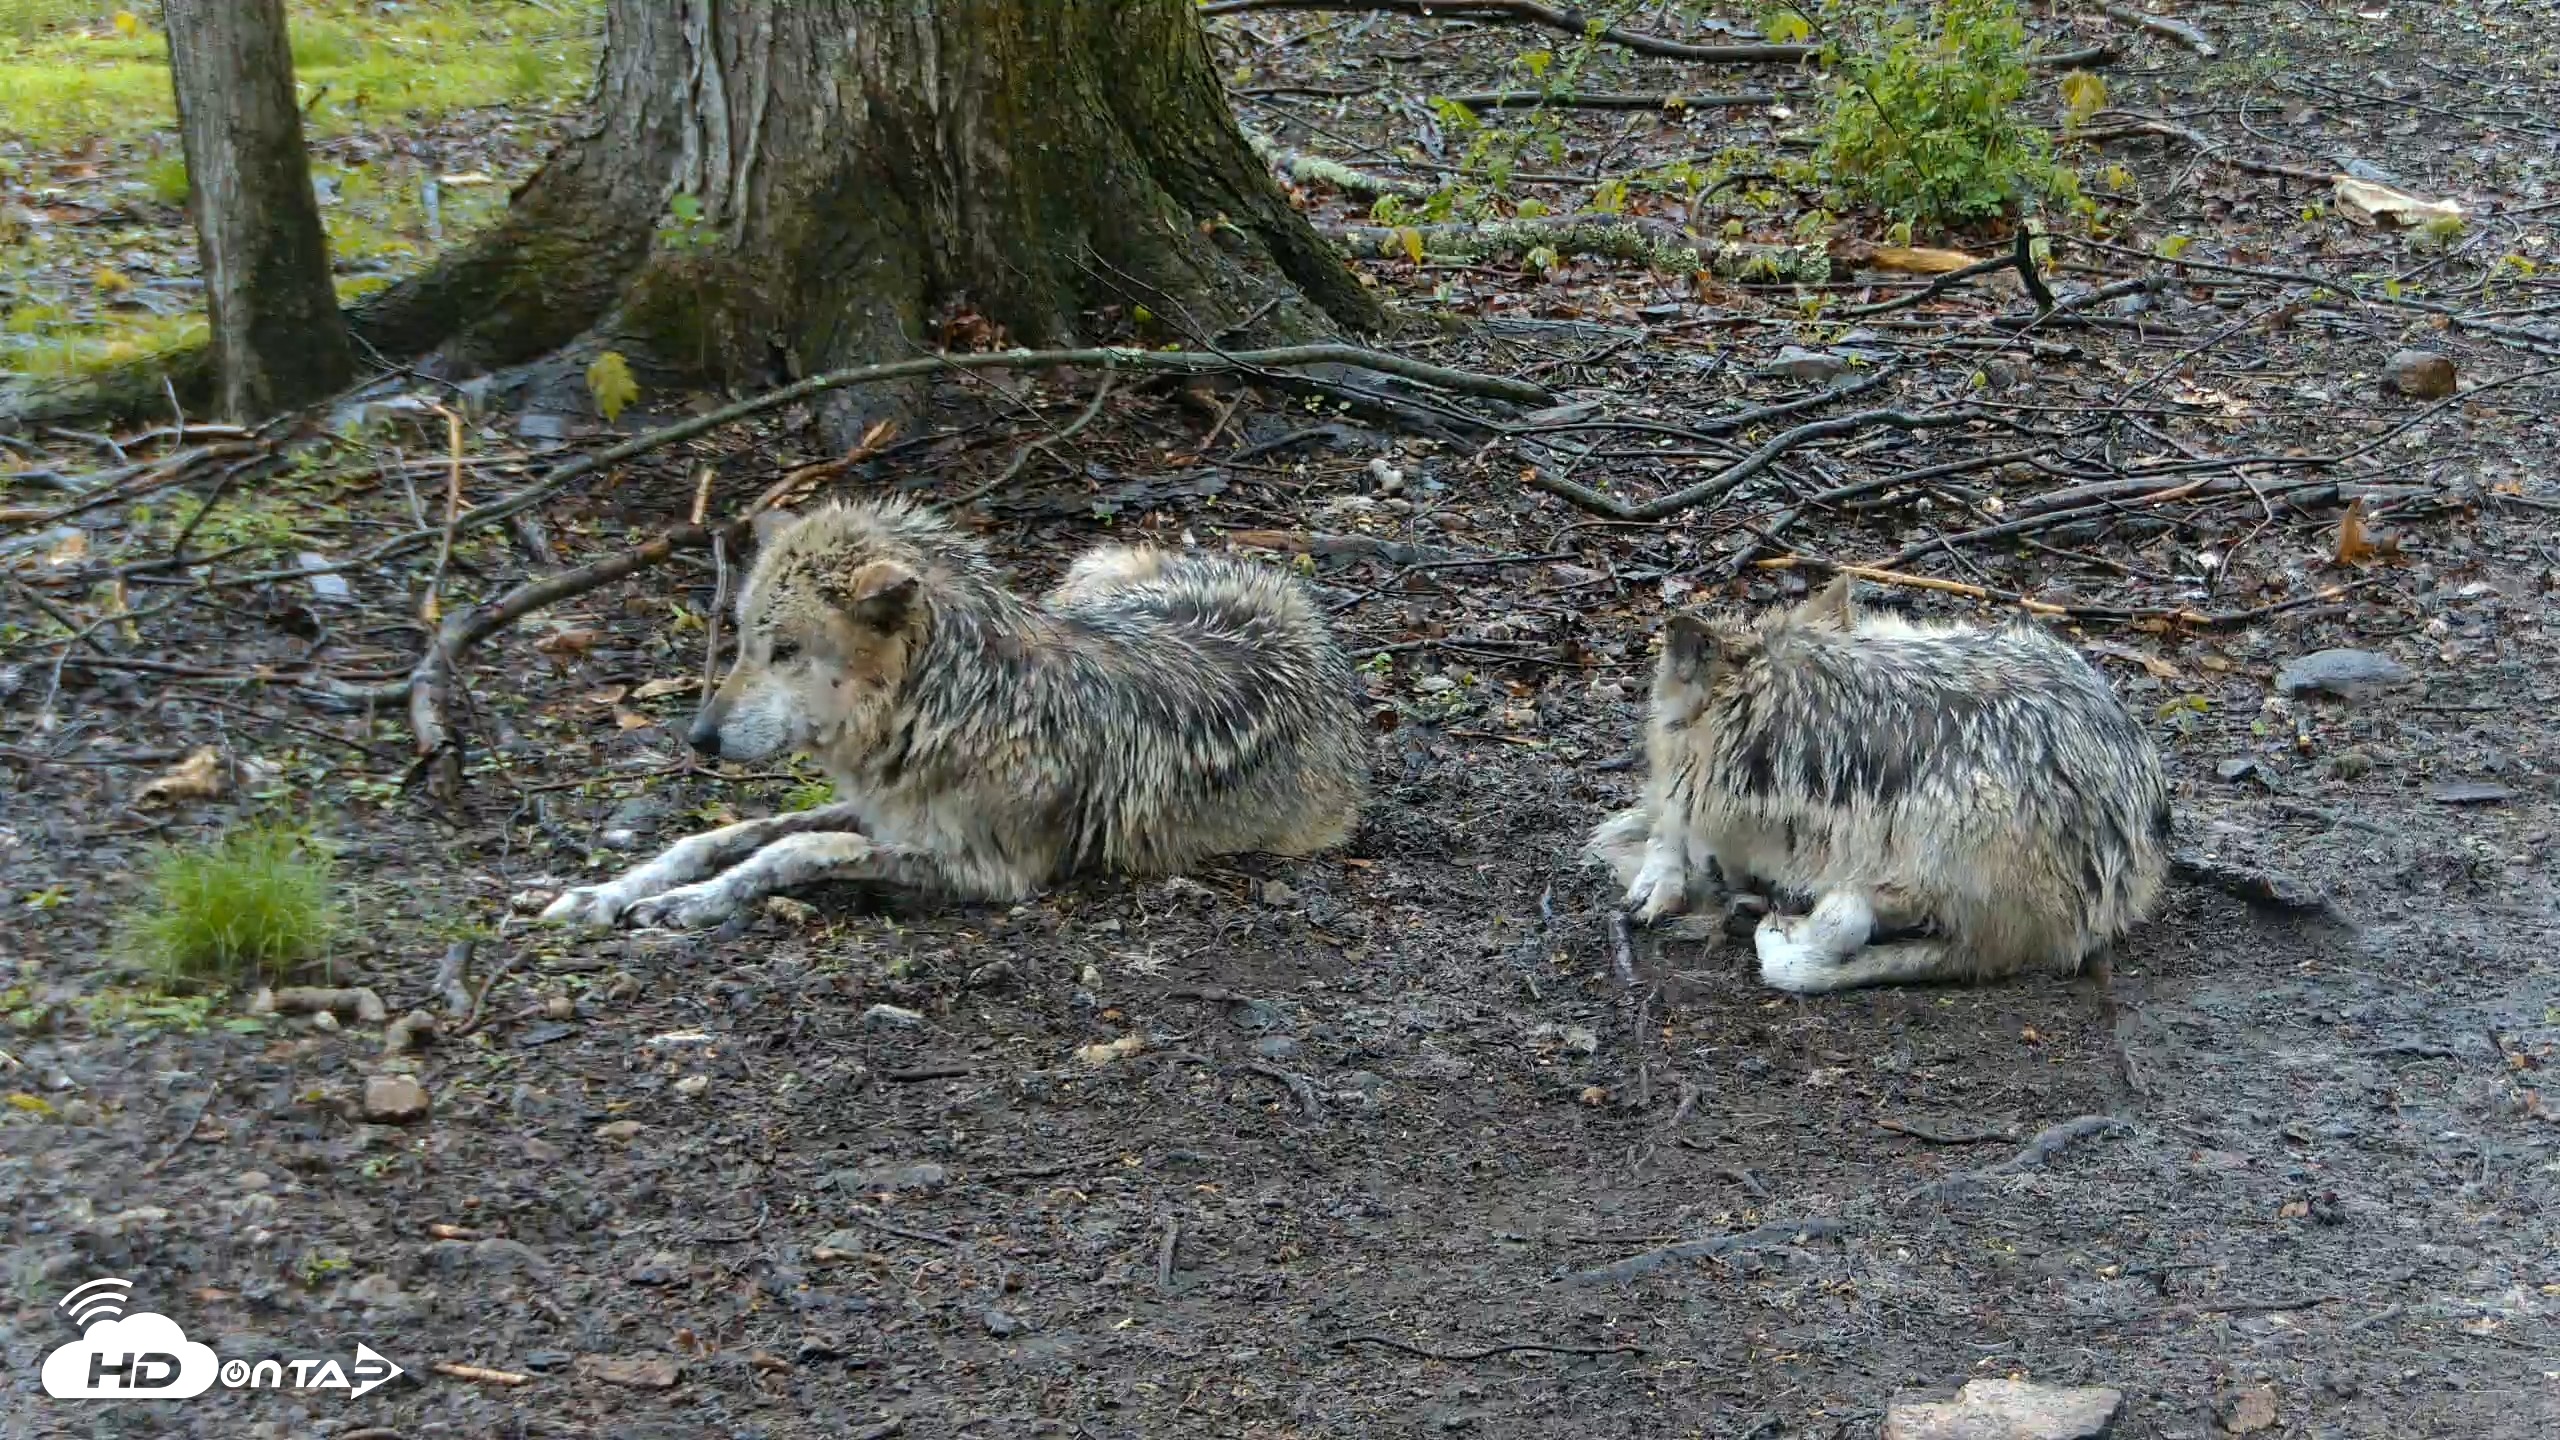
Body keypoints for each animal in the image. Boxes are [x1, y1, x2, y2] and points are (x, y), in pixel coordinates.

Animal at [541, 500, 1368, 930]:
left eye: (786, 651)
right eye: (741, 639)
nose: (700, 738)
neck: (953, 703)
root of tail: (1294, 598)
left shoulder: (991, 871)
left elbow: (795, 850)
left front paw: (689, 903)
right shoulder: (881, 806)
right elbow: (730, 834)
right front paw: (607, 893)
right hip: (1089, 581)